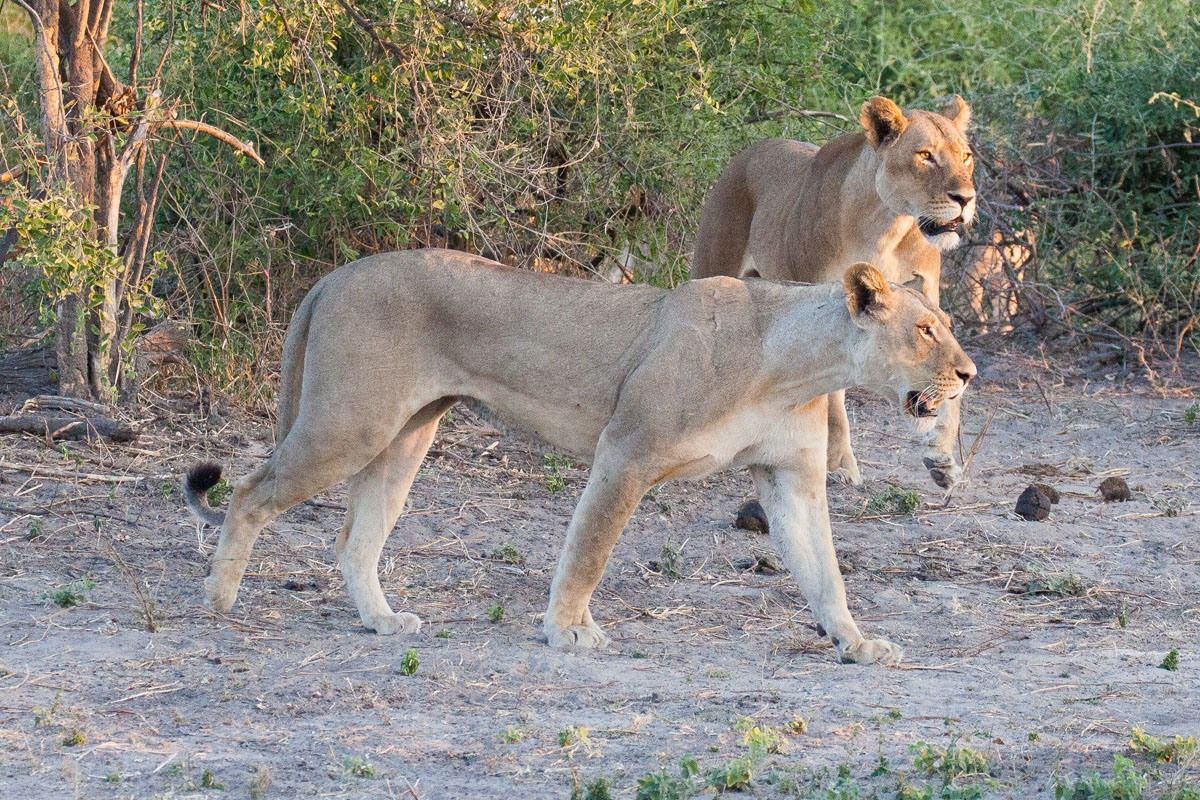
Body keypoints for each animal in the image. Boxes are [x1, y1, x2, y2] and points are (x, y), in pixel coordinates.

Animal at [184, 249, 975, 665]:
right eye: (925, 330)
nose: (968, 374)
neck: (796, 363)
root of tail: (338, 274)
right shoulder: (627, 449)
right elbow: (590, 548)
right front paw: (567, 630)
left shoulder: (791, 480)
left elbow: (825, 574)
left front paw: (857, 643)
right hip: (349, 422)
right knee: (250, 490)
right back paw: (218, 598)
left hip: (405, 435)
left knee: (355, 539)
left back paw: (381, 621)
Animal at [693, 95, 977, 492]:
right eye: (925, 155)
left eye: (965, 156)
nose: (966, 199)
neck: (888, 226)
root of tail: (748, 151)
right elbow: (833, 401)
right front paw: (841, 465)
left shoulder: (927, 299)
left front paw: (943, 459)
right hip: (713, 265)